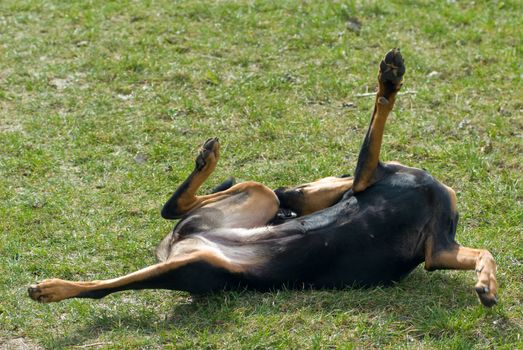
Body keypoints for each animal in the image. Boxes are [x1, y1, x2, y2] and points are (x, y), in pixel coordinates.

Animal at [27, 48, 500, 306]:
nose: (290, 197)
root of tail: (175, 247)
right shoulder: (366, 177)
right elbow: (380, 113)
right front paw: (389, 78)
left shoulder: (438, 249)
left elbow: (485, 252)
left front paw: (486, 282)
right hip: (241, 214)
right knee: (154, 230)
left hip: (215, 243)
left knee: (152, 234)